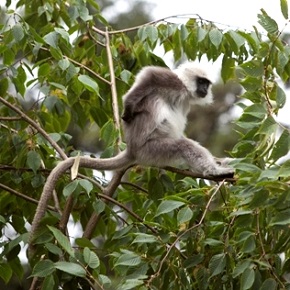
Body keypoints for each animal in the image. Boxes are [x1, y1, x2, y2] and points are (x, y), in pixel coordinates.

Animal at [28, 61, 233, 247]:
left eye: (207, 84)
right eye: (201, 82)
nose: (205, 89)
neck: (184, 92)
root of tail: (132, 149)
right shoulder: (171, 81)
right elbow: (148, 77)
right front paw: (127, 110)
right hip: (151, 150)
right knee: (182, 144)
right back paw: (214, 171)